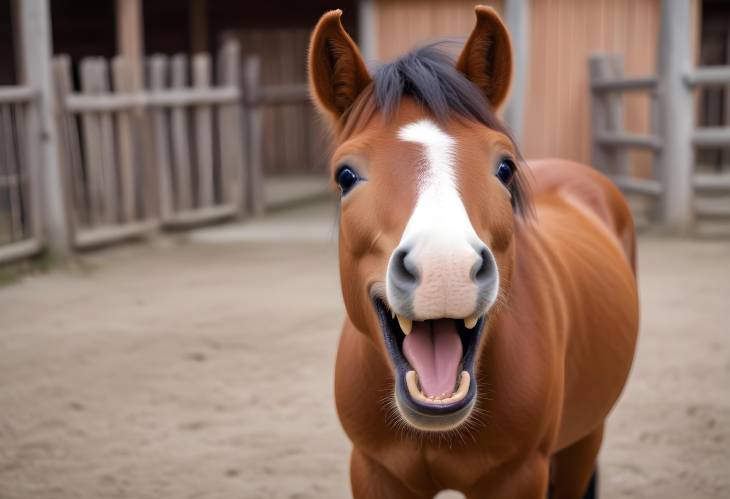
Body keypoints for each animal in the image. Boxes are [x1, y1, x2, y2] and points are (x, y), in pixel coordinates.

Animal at [308, 5, 636, 498]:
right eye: (346, 175)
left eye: (504, 167)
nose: (444, 269)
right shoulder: (373, 471)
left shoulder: (520, 475)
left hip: (584, 440)